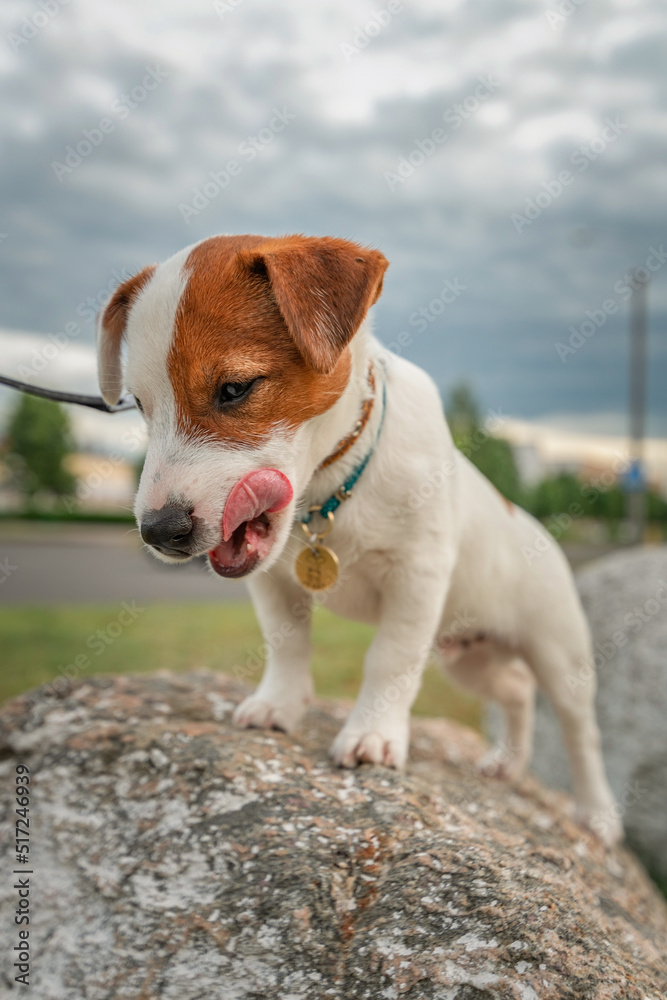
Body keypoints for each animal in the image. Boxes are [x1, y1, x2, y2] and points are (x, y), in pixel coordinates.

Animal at [96, 232, 624, 844]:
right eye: (139, 405)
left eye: (234, 389)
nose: (159, 532)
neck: (332, 487)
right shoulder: (273, 584)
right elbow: (287, 642)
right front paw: (279, 704)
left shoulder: (417, 576)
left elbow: (390, 659)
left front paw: (371, 734)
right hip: (468, 658)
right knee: (515, 692)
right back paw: (507, 763)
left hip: (559, 653)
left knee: (579, 730)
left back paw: (597, 812)